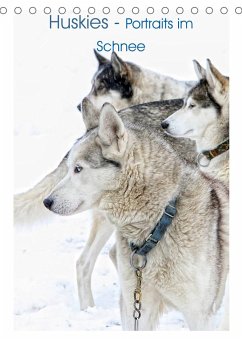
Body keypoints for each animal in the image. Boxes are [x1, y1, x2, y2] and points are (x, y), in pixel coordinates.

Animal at [44, 100, 229, 330]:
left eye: (78, 169)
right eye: (69, 167)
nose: (46, 202)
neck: (159, 225)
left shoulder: (199, 315)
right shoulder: (139, 304)